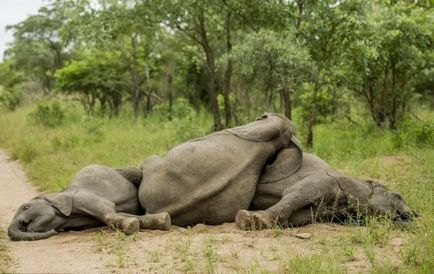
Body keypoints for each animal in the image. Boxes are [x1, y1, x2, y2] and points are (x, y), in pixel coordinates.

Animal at [8, 165, 171, 240]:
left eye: (26, 207)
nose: (22, 223)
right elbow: (123, 215)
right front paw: (161, 220)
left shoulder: (81, 198)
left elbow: (109, 212)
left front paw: (131, 226)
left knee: (138, 173)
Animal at [237, 148, 418, 229]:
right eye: (397, 196)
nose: (413, 215)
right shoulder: (324, 180)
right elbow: (294, 196)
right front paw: (247, 219)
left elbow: (302, 216)